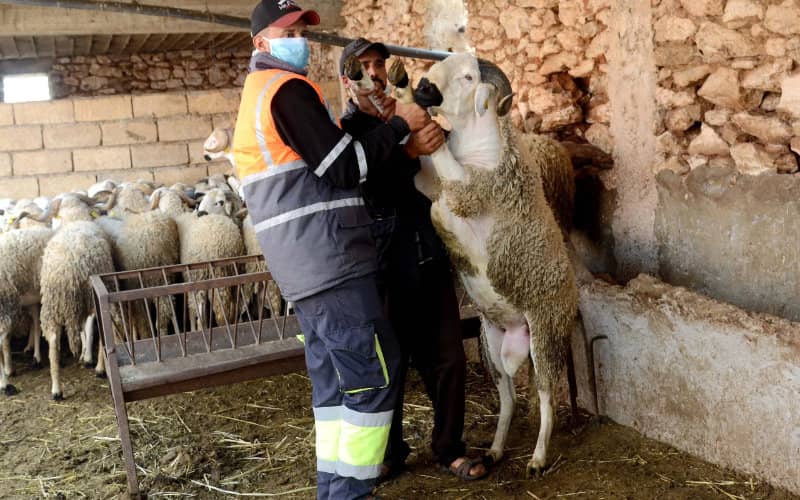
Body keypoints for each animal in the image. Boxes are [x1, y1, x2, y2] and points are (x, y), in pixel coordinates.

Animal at [411, 53, 581, 476]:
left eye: (469, 77)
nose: (423, 87)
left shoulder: (472, 190)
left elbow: (444, 167)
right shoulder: (433, 189)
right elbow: (425, 178)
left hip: (545, 335)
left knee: (546, 396)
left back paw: (537, 458)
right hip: (492, 343)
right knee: (508, 398)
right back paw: (494, 451)